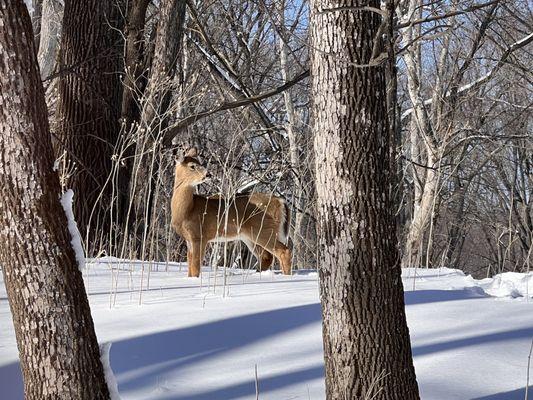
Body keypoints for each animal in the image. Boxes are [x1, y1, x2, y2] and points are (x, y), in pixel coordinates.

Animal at [171, 148, 290, 276]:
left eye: (201, 163)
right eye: (192, 166)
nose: (208, 174)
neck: (187, 210)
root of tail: (280, 201)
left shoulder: (200, 235)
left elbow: (195, 267)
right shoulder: (189, 239)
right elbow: (190, 267)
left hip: (264, 229)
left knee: (284, 251)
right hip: (249, 235)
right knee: (266, 257)